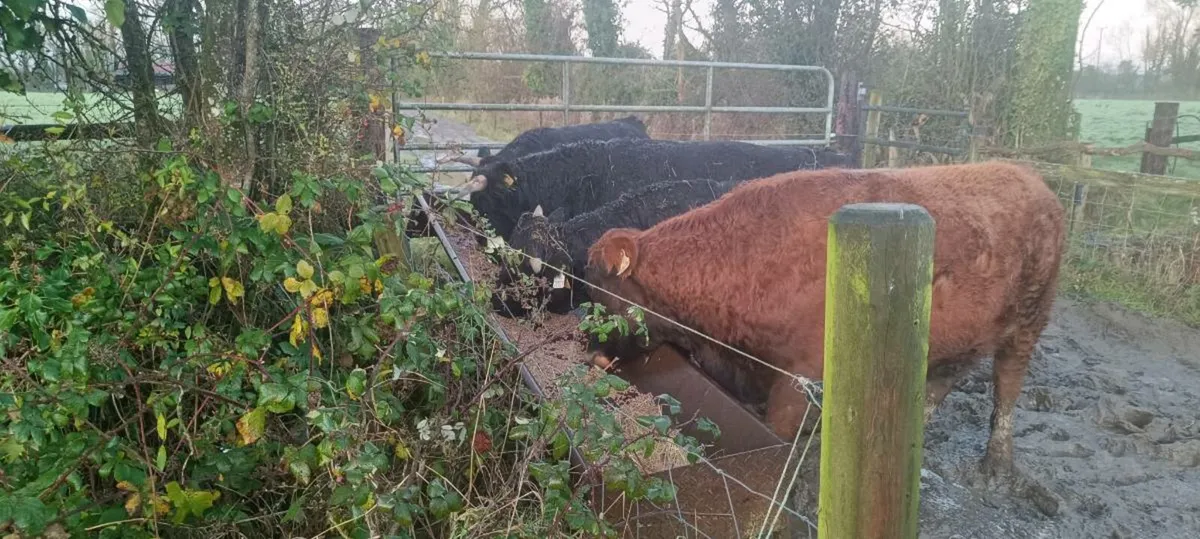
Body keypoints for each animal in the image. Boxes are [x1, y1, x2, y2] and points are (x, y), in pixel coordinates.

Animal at [582, 161, 1066, 478]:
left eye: (604, 295)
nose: (592, 358)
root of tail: (1034, 182)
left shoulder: (799, 381)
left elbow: (781, 445)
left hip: (1027, 326)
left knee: (1007, 389)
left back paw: (996, 466)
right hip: (959, 340)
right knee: (941, 384)